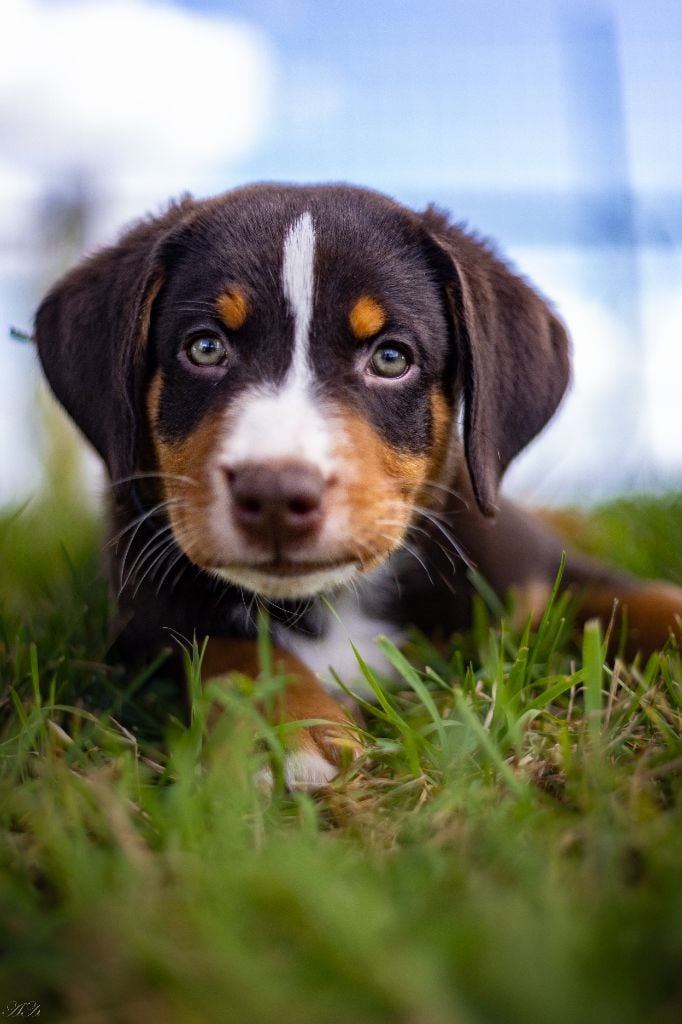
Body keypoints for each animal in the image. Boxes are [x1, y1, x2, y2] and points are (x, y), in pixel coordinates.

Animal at [33, 184, 679, 786]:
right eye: (205, 348)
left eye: (391, 358)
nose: (275, 494)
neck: (333, 600)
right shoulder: (141, 612)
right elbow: (222, 646)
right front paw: (286, 728)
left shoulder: (529, 573)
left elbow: (633, 598)